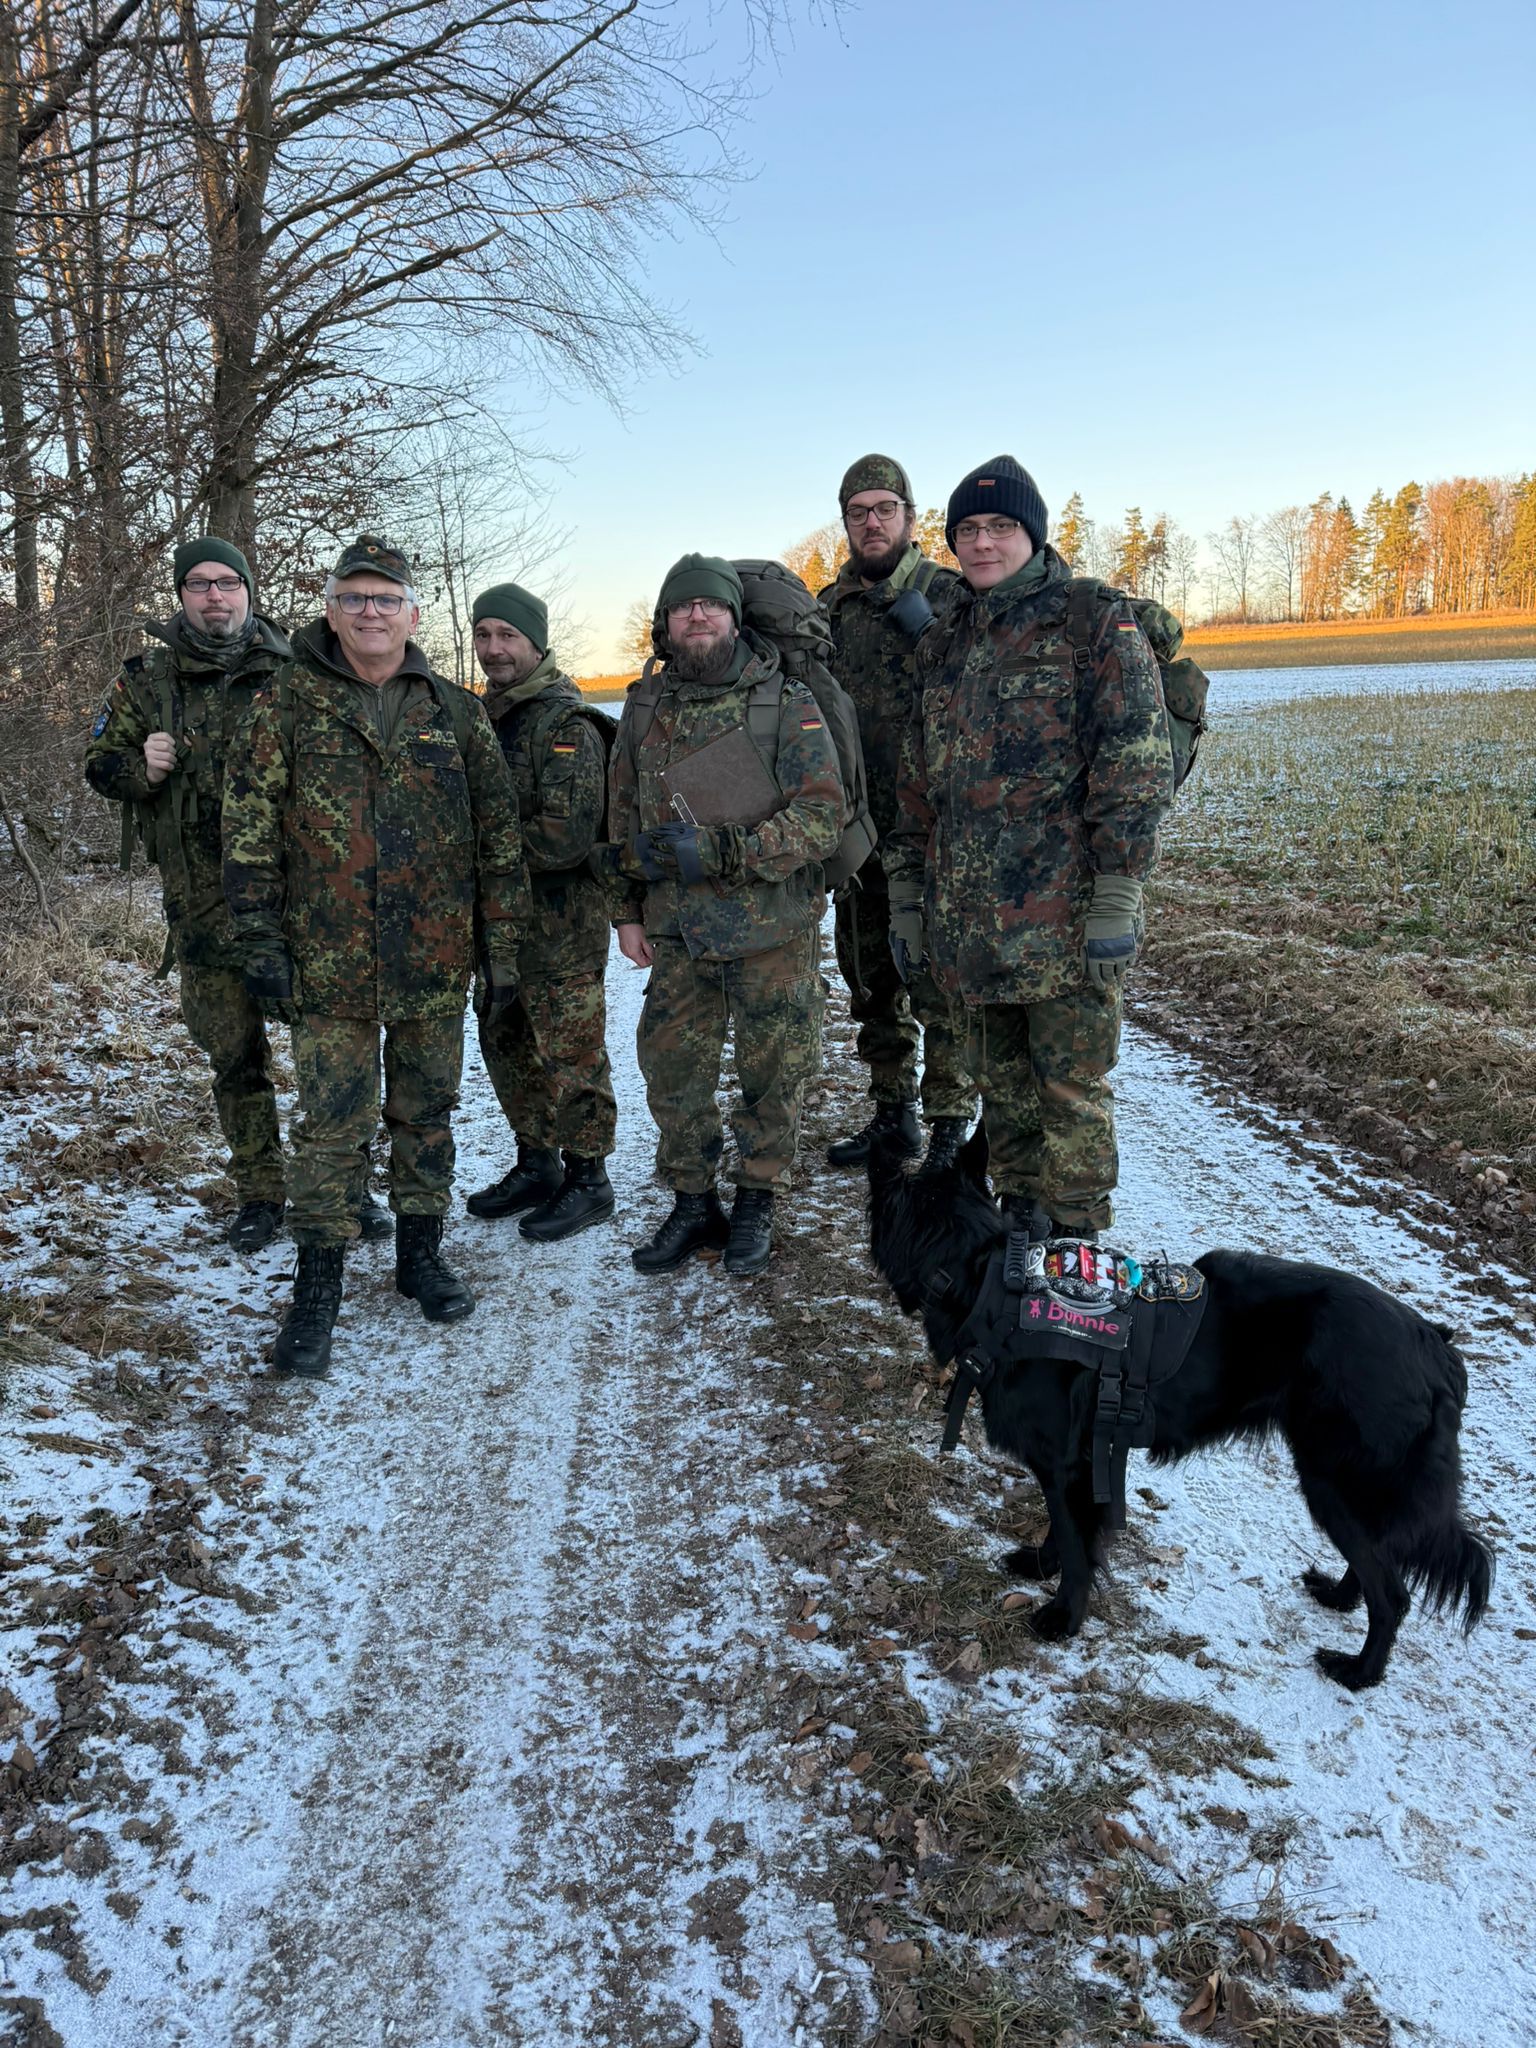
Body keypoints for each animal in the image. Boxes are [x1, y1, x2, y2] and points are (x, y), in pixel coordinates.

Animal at [868, 1129, 1494, 1690]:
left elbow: (1075, 1543)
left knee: (1393, 1592)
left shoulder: (1070, 1467)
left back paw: (1359, 1672)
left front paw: (1063, 1616)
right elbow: (1061, 1530)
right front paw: (1042, 1566)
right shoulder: (1075, 1464)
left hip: (1334, 1481)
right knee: (1377, 1564)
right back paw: (1339, 1598)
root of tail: (1437, 1347)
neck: (994, 1283)